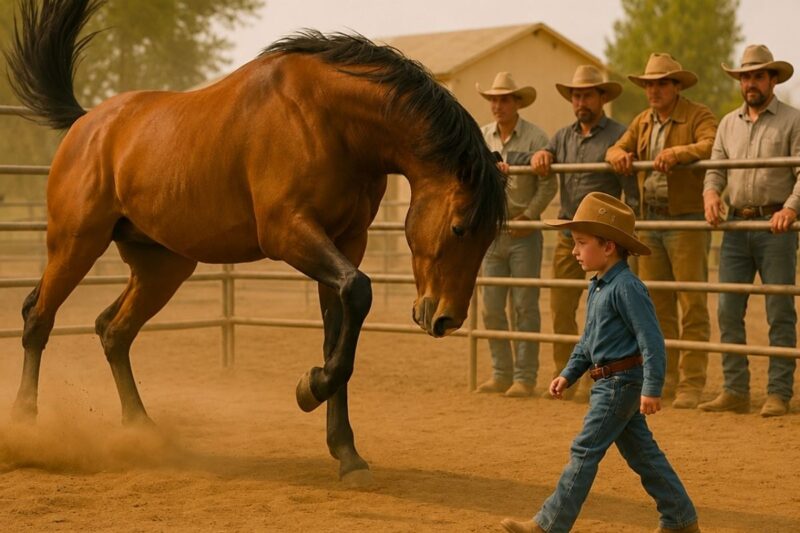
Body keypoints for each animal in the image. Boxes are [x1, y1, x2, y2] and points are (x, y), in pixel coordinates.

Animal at [6, 0, 506, 483]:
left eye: (490, 238)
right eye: (459, 228)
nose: (446, 319)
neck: (328, 119)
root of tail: (88, 123)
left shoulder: (346, 243)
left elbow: (340, 333)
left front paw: (346, 452)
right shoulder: (288, 232)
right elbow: (358, 291)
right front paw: (309, 389)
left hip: (162, 267)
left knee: (113, 331)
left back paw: (143, 433)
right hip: (75, 243)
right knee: (38, 318)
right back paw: (25, 428)